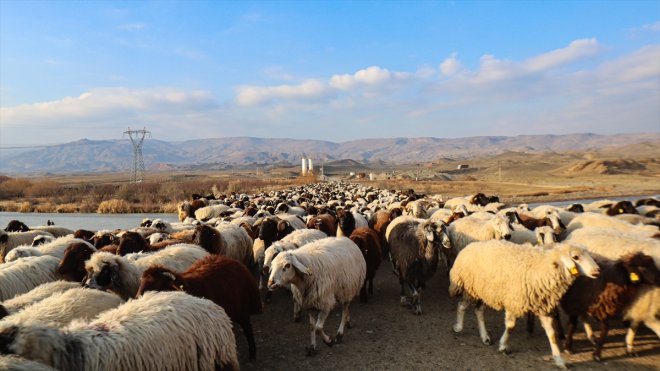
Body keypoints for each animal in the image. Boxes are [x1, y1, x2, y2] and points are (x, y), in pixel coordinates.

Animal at [452, 241, 600, 370]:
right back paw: (458, 327)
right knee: (462, 305)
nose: (597, 271)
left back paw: (485, 337)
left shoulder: (542, 306)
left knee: (479, 311)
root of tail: (470, 245)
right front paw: (503, 346)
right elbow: (510, 327)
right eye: (575, 257)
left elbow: (551, 334)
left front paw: (559, 360)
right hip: (471, 289)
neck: (544, 268)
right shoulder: (514, 301)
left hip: (485, 291)